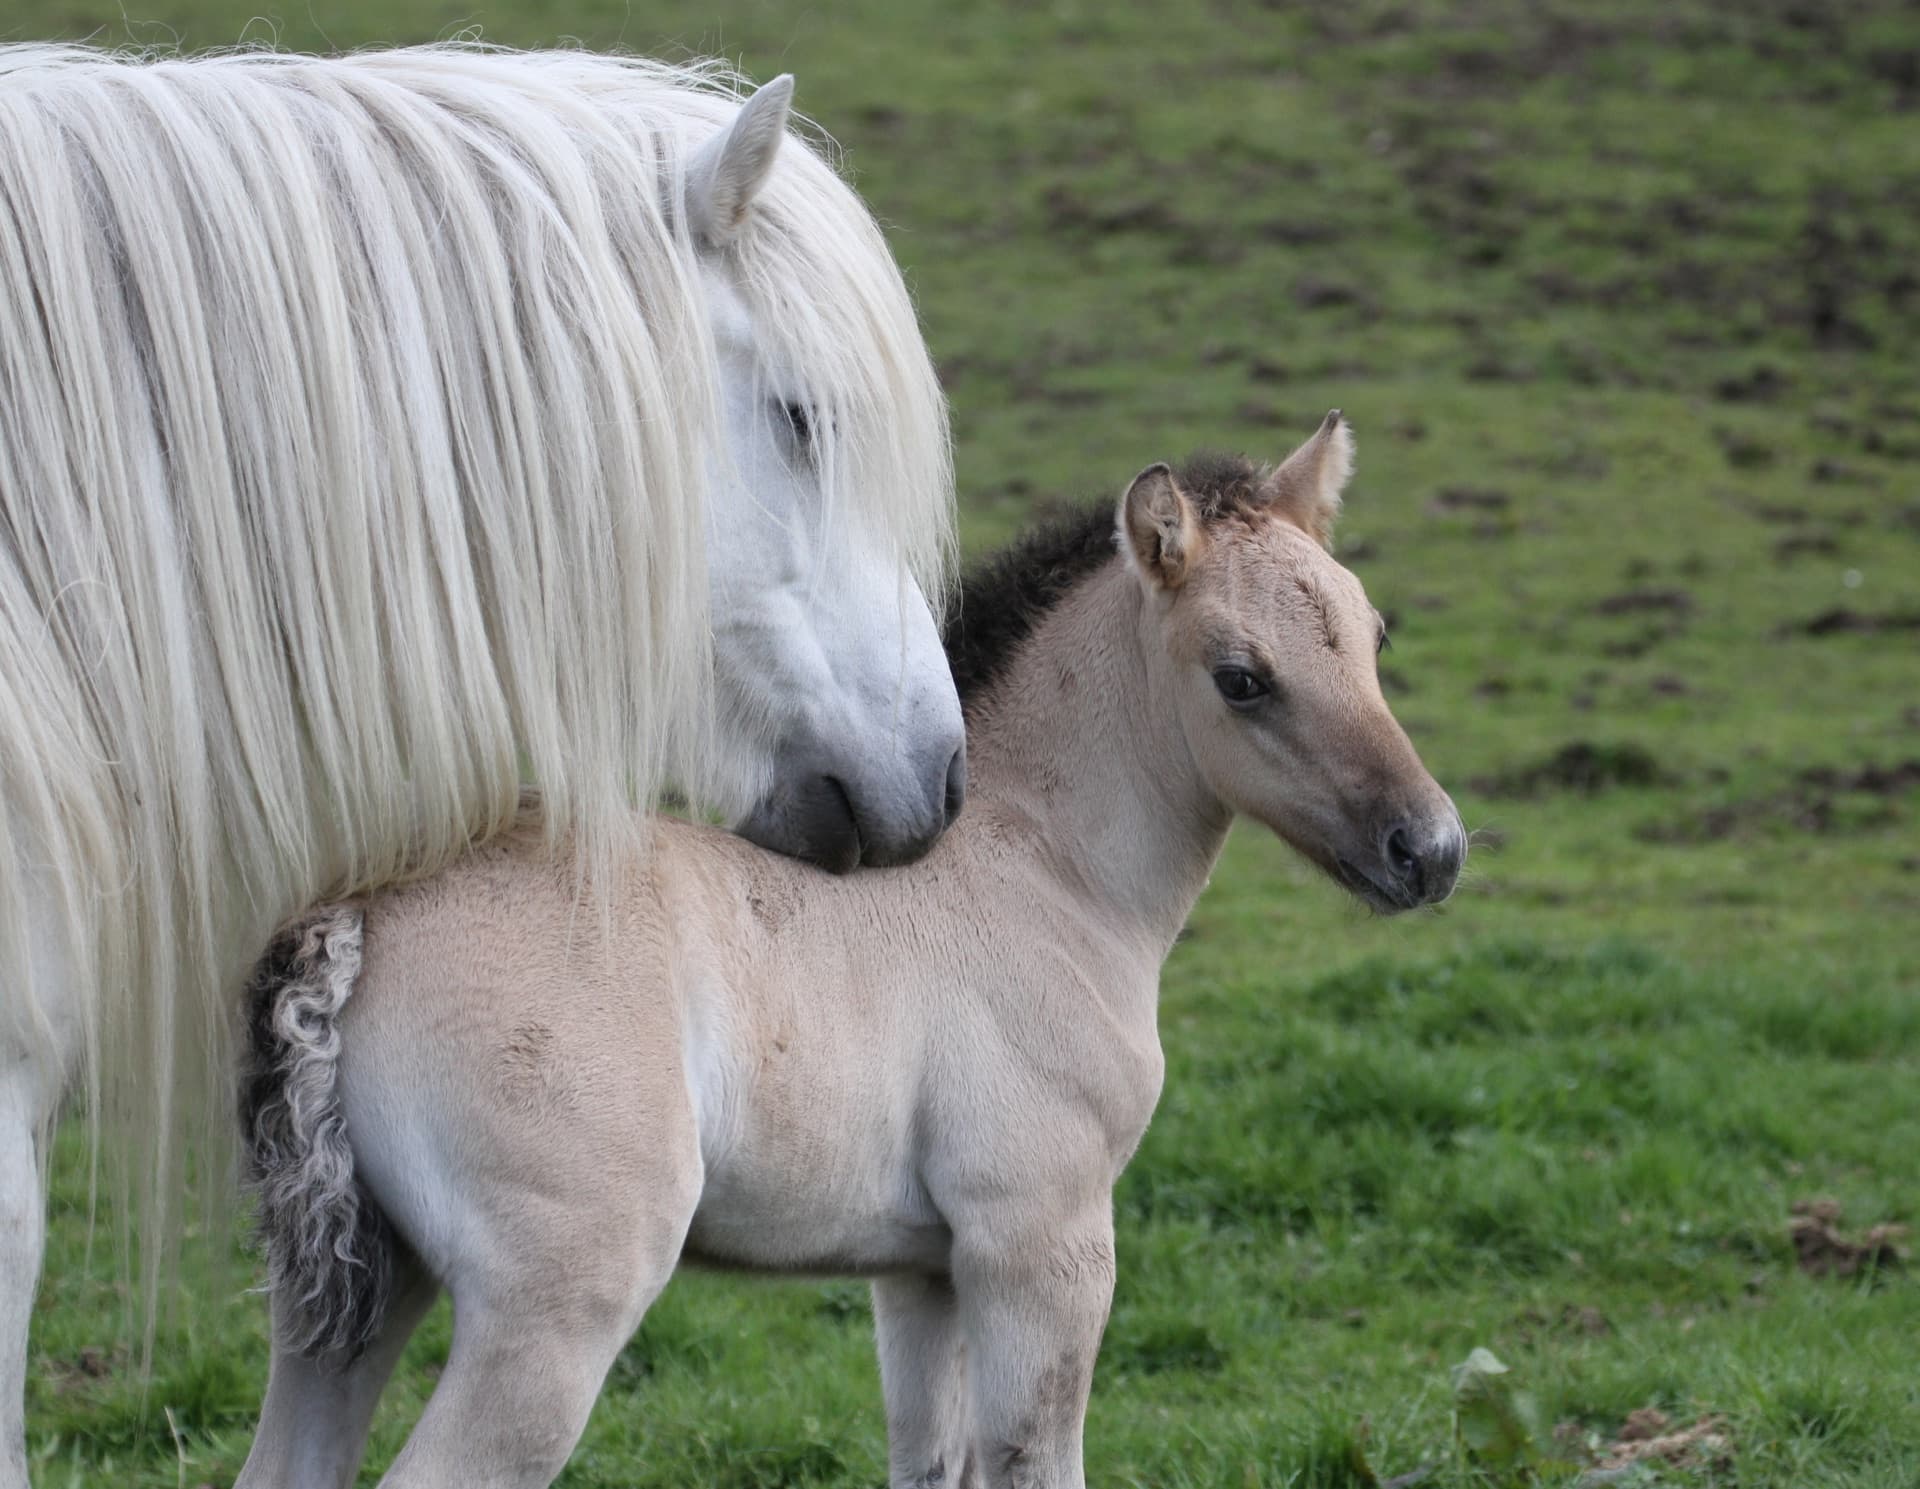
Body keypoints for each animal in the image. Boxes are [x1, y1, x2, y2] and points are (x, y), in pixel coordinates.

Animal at [238, 412, 1466, 1489]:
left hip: (352, 1299)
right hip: (552, 1307)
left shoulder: (921, 1269)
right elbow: (1037, 1461)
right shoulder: (1044, 1243)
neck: (1039, 870)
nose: (1431, 850)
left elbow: (932, 1463)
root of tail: (356, 924)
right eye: (1240, 677)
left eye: (1373, 635)